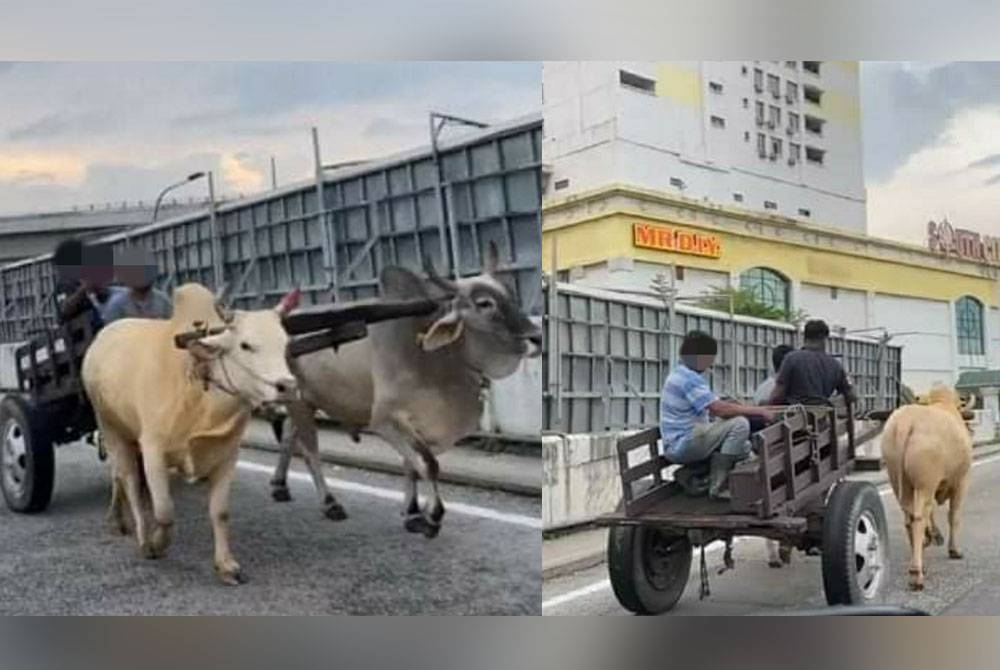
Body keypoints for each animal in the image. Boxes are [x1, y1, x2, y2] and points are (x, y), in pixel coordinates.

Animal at [81, 284, 300, 588]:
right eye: (245, 345)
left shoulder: (227, 455)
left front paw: (226, 566)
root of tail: (103, 336)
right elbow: (164, 511)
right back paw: (136, 531)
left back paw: (118, 519)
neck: (200, 387)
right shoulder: (153, 448)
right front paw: (156, 544)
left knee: (118, 476)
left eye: (285, 343)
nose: (287, 387)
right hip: (110, 426)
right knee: (127, 479)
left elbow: (220, 512)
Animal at [880, 386, 972, 592]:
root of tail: (907, 422)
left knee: (910, 517)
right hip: (925, 484)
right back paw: (917, 574)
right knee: (919, 518)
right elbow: (953, 516)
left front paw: (933, 535)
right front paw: (954, 550)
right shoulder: (961, 481)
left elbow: (933, 513)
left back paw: (921, 553)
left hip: (899, 482)